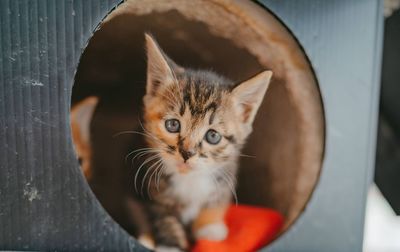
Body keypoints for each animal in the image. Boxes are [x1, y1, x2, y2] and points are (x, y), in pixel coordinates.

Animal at [140, 34, 272, 251]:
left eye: (212, 136)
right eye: (173, 125)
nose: (187, 153)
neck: (189, 179)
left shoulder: (226, 173)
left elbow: (217, 197)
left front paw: (209, 226)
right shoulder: (151, 190)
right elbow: (163, 216)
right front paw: (170, 244)